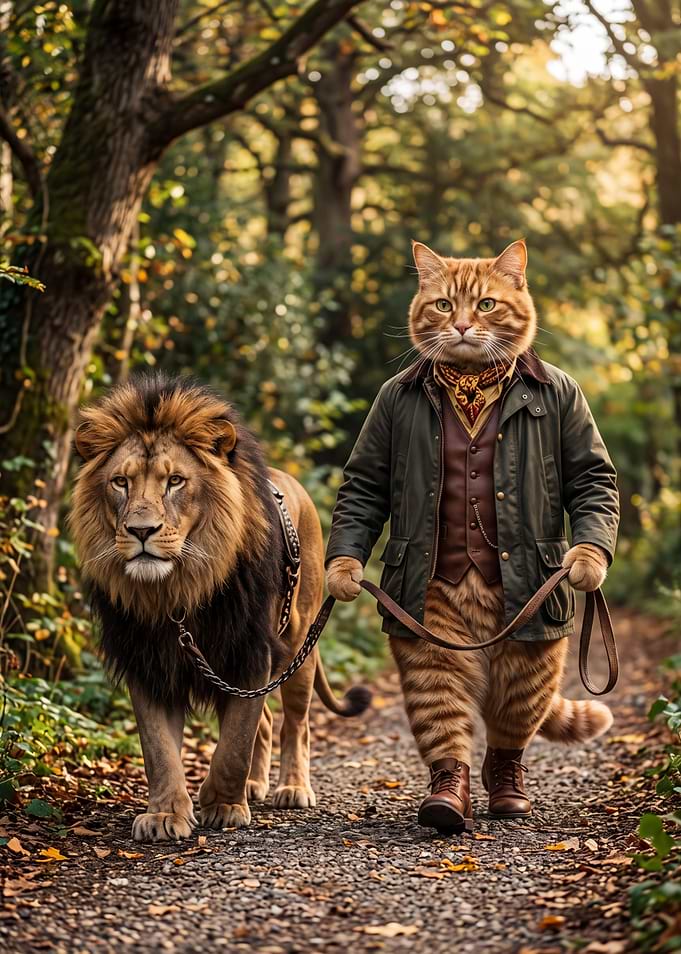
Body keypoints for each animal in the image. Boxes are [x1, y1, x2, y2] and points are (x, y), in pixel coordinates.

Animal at [69, 374, 369, 842]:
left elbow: (234, 744)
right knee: (267, 723)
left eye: (175, 481)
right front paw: (165, 814)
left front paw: (224, 805)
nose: (141, 531)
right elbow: (159, 750)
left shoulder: (251, 653)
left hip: (300, 647)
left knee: (294, 724)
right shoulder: (148, 661)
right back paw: (256, 784)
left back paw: (291, 788)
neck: (177, 590)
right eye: (120, 482)